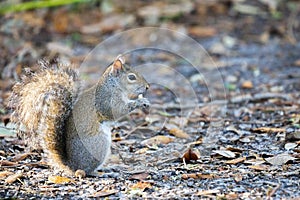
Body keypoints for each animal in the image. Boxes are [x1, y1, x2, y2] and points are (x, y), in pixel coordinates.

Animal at [9, 55, 150, 176]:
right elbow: (116, 111)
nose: (148, 87)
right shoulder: (105, 100)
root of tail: (72, 165)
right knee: (86, 171)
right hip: (99, 144)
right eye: (131, 77)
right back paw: (100, 173)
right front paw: (140, 102)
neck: (113, 85)